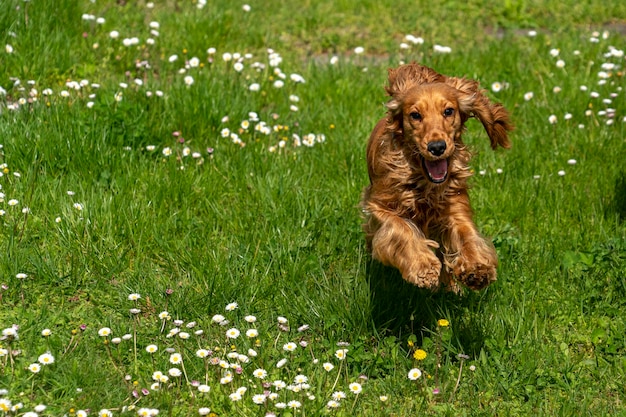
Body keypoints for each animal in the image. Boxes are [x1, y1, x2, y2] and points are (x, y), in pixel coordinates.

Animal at [360, 63, 512, 292]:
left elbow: (467, 236)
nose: (437, 147)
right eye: (415, 115)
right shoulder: (379, 205)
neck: (424, 184)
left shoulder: (455, 207)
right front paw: (424, 267)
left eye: (448, 111)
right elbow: (401, 229)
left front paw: (478, 269)